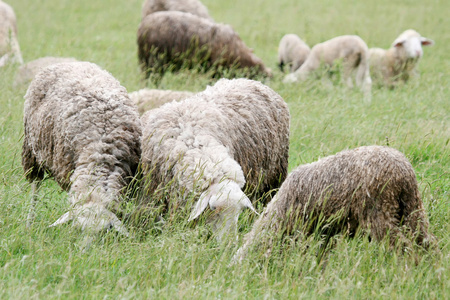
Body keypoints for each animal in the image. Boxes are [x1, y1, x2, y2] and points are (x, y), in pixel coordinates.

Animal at [22, 60, 142, 234]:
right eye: (77, 230)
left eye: (106, 232)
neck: (101, 152)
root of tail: (70, 61)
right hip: (32, 150)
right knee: (35, 186)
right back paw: (29, 222)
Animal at [232, 145, 432, 262]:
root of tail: (403, 170)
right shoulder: (325, 230)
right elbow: (323, 253)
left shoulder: (305, 228)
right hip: (412, 206)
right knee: (426, 240)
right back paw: (430, 266)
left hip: (380, 211)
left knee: (403, 245)